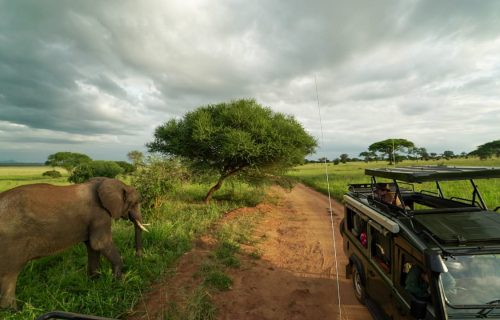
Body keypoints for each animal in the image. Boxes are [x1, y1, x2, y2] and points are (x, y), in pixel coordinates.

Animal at [0, 178, 148, 310]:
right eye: (135, 203)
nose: (138, 257)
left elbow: (92, 247)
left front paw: (95, 281)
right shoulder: (99, 215)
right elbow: (100, 243)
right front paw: (121, 281)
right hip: (10, 242)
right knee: (10, 275)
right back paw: (14, 311)